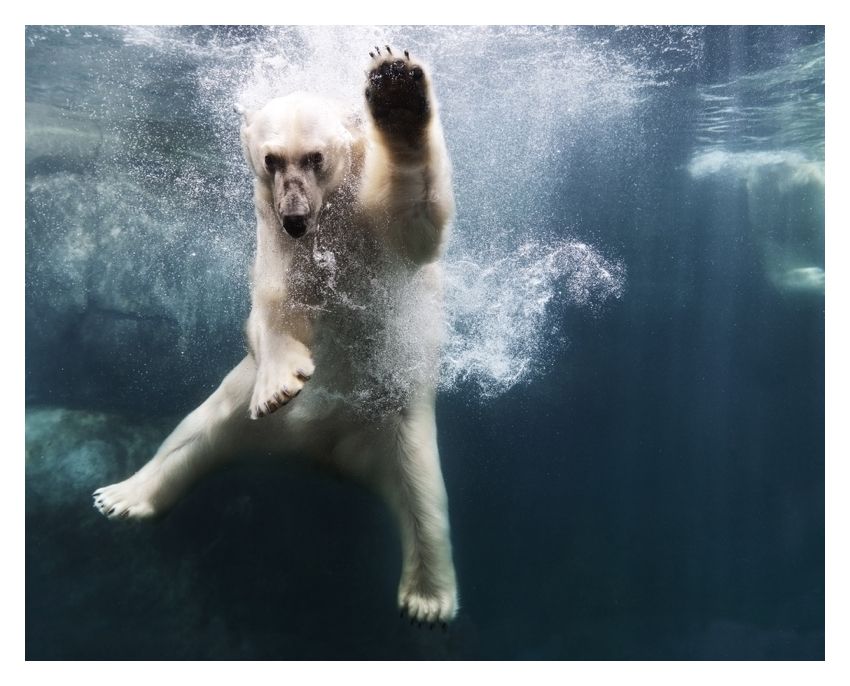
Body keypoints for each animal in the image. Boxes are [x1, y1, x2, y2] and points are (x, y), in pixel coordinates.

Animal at [92, 47, 459, 625]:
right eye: (271, 160)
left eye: (315, 158)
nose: (295, 217)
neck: (328, 217)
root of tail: (323, 452)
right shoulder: (277, 245)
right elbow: (272, 309)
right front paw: (280, 384)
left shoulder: (373, 229)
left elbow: (416, 220)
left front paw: (395, 88)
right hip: (240, 409)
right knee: (193, 435)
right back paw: (123, 495)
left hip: (399, 421)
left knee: (423, 497)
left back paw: (427, 599)